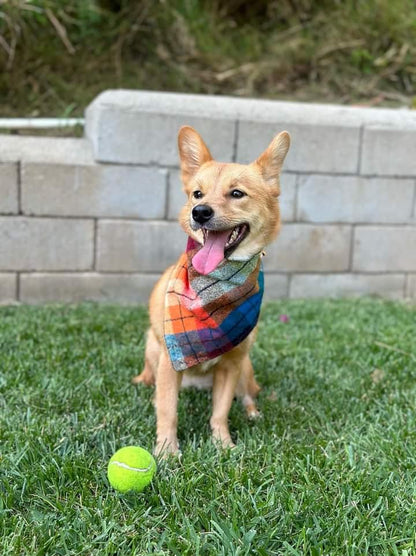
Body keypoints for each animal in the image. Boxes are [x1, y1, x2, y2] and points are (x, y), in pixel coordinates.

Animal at [132, 126, 290, 456]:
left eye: (237, 193)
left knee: (248, 395)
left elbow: (220, 411)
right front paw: (166, 451)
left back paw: (253, 412)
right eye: (197, 193)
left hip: (245, 366)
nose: (200, 212)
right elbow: (168, 409)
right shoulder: (170, 361)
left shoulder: (231, 364)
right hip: (152, 346)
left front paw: (222, 444)